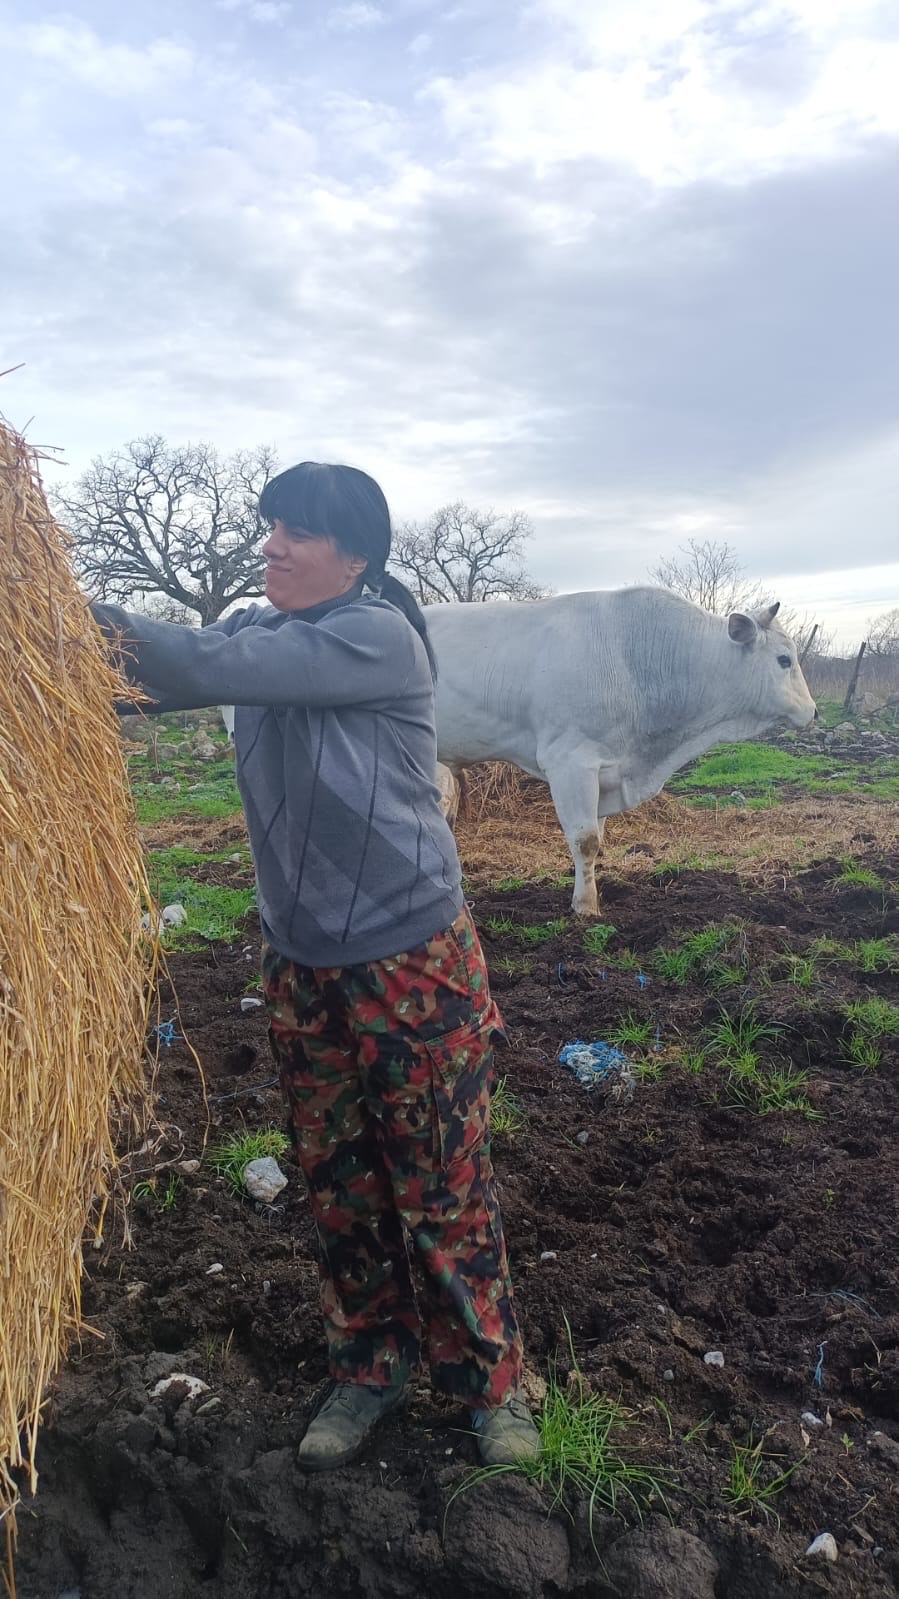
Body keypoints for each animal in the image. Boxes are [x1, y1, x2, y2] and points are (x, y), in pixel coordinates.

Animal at [425, 588, 812, 914]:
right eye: (784, 660)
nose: (812, 711)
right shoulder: (570, 762)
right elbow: (585, 840)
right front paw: (585, 907)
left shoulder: (606, 769)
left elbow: (597, 840)